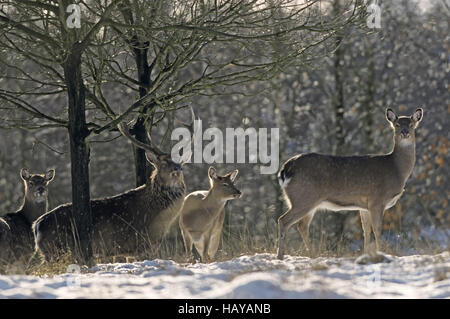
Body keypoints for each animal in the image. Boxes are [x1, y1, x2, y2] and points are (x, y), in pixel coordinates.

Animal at [276, 107, 424, 260]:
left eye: (411, 124)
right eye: (397, 125)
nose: (405, 132)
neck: (396, 170)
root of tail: (285, 170)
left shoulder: (365, 206)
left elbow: (366, 231)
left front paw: (366, 254)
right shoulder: (377, 200)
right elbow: (377, 230)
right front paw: (381, 253)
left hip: (308, 202)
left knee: (302, 226)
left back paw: (312, 254)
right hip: (304, 197)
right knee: (283, 220)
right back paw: (280, 256)